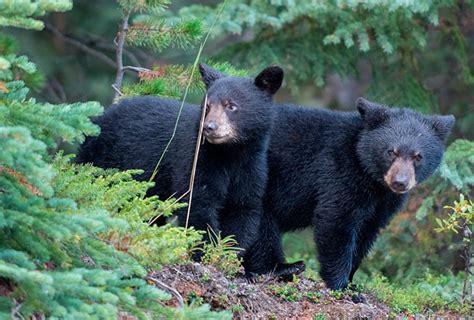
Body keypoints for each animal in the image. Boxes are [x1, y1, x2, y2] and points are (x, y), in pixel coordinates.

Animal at [78, 63, 284, 254]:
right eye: (207, 106)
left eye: (231, 105)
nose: (209, 127)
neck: (231, 153)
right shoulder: (197, 160)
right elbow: (197, 203)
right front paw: (205, 251)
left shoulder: (252, 167)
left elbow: (243, 208)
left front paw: (227, 253)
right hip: (99, 159)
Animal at [244, 97, 456, 290]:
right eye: (391, 152)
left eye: (417, 156)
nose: (400, 182)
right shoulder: (339, 170)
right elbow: (336, 219)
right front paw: (341, 283)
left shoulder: (385, 202)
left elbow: (366, 232)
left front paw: (353, 281)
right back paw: (284, 268)